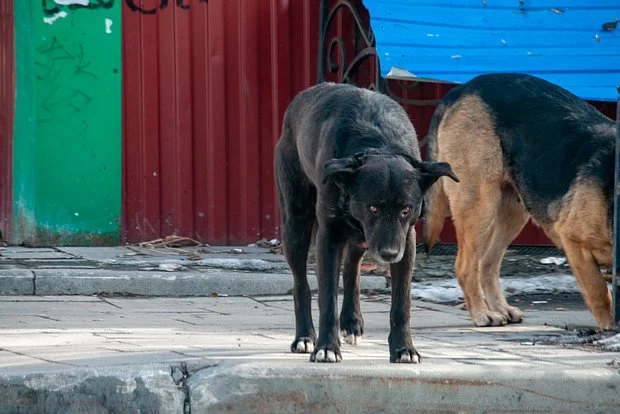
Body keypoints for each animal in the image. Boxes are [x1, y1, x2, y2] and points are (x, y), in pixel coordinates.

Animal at [274, 83, 458, 362]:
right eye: (373, 207)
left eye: (406, 209)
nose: (389, 254)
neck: (379, 144)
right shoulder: (329, 237)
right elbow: (327, 299)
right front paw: (326, 348)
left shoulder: (407, 241)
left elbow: (401, 304)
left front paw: (404, 349)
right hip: (296, 222)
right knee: (301, 284)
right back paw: (305, 337)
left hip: (360, 239)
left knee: (352, 270)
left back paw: (351, 323)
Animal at [424, 72, 616, 330]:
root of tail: (462, 89)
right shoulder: (574, 241)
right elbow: (600, 294)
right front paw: (610, 329)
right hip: (480, 204)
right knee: (466, 266)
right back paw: (482, 314)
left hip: (513, 212)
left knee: (487, 264)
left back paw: (499, 308)